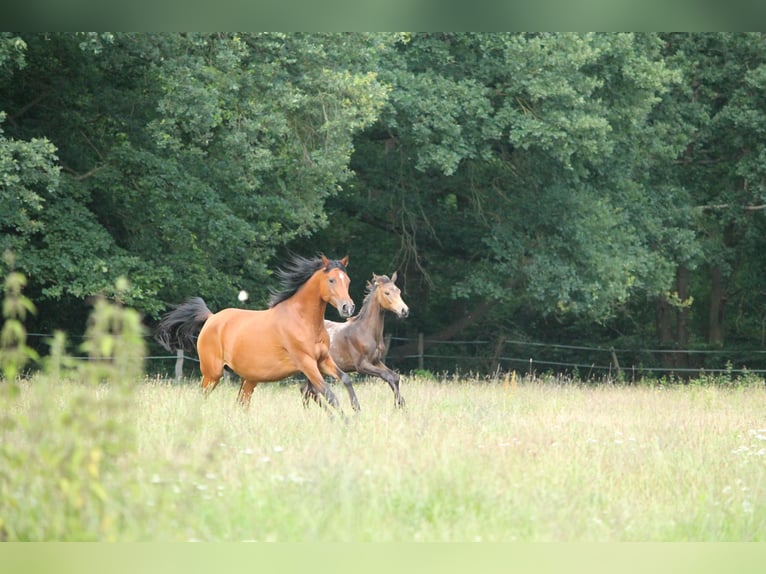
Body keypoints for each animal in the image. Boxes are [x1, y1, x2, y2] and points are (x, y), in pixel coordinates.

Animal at [158, 254, 360, 412]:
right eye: (331, 280)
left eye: (348, 281)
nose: (347, 308)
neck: (302, 320)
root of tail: (211, 317)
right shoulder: (307, 363)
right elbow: (330, 394)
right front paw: (345, 423)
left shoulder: (323, 360)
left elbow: (346, 379)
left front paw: (357, 412)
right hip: (212, 374)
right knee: (203, 396)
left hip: (249, 379)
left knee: (241, 403)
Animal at [300, 274, 412, 412]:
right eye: (387, 293)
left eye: (399, 291)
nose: (404, 310)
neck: (365, 331)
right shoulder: (362, 365)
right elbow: (387, 376)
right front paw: (397, 406)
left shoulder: (376, 361)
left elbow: (394, 377)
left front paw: (402, 406)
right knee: (309, 390)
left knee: (307, 390)